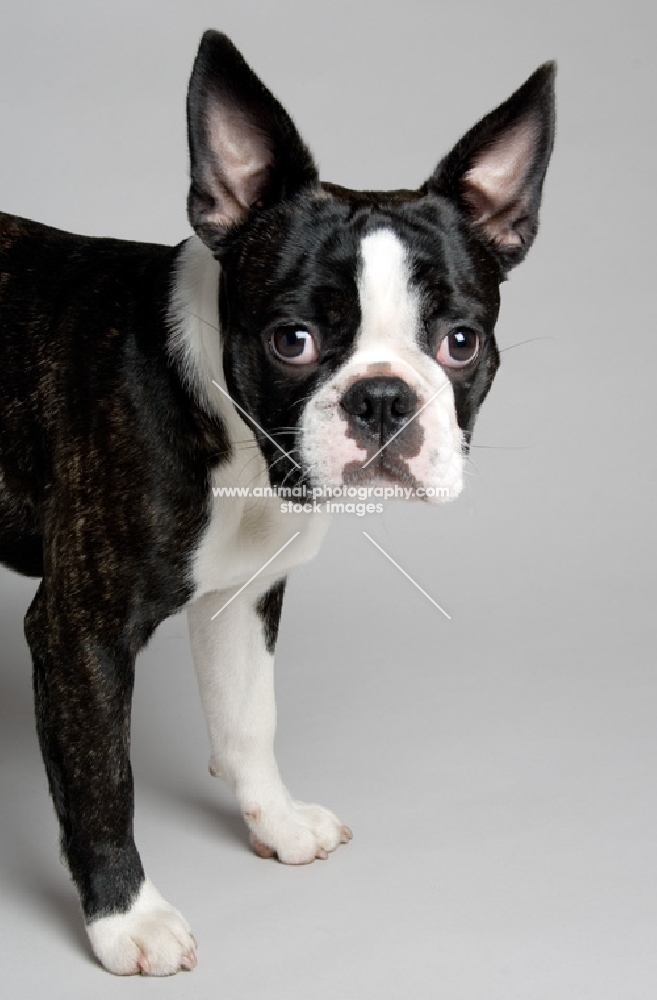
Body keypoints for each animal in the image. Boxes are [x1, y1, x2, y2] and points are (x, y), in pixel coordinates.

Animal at [0, 33, 552, 976]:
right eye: (290, 340)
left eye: (460, 341)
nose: (381, 398)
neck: (241, 444)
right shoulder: (80, 632)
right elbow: (104, 780)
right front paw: (126, 919)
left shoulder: (243, 597)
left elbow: (247, 722)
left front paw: (277, 823)